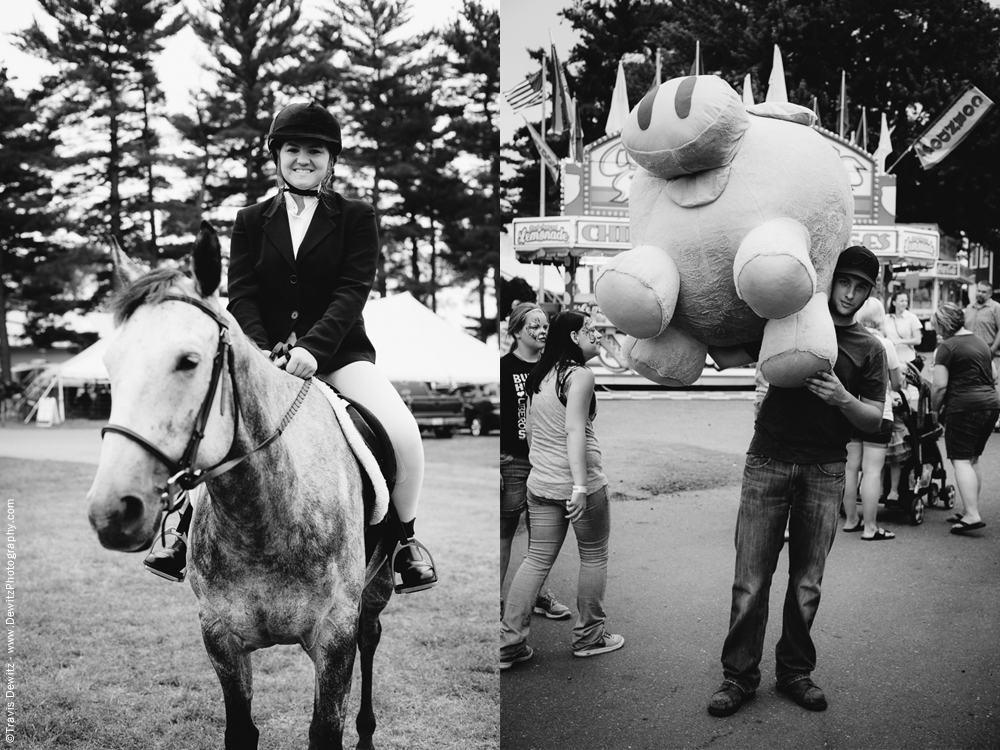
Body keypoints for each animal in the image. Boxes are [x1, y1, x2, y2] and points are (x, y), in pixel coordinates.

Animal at [85, 225, 394, 750]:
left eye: (188, 361)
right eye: (110, 363)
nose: (112, 510)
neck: (262, 519)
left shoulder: (335, 637)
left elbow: (325, 727)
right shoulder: (220, 636)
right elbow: (241, 729)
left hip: (376, 591)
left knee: (371, 636)